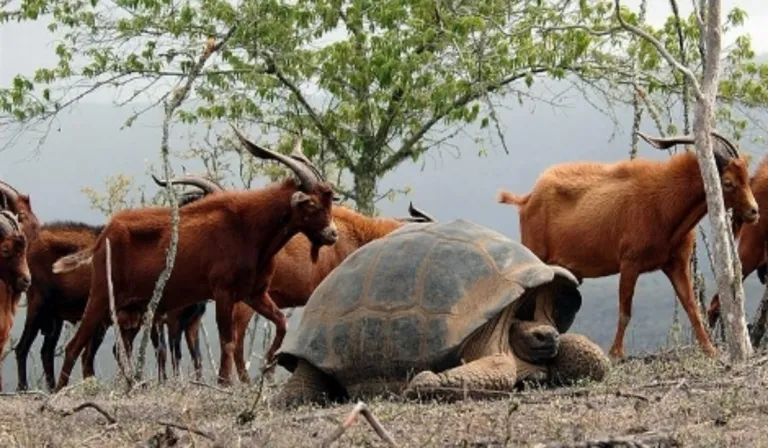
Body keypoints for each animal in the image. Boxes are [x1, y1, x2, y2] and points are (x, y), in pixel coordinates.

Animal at [50, 127, 338, 389]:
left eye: (329, 201)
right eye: (312, 203)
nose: (332, 234)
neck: (250, 228)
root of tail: (104, 236)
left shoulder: (254, 293)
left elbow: (281, 323)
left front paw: (267, 367)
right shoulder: (223, 292)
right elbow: (227, 340)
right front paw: (224, 383)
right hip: (102, 296)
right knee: (74, 346)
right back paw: (59, 391)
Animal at [496, 131, 758, 359]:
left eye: (747, 177)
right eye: (728, 182)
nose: (754, 211)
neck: (665, 204)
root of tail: (527, 199)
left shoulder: (676, 263)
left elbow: (691, 307)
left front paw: (710, 350)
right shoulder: (630, 263)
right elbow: (625, 311)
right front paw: (616, 354)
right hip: (535, 254)